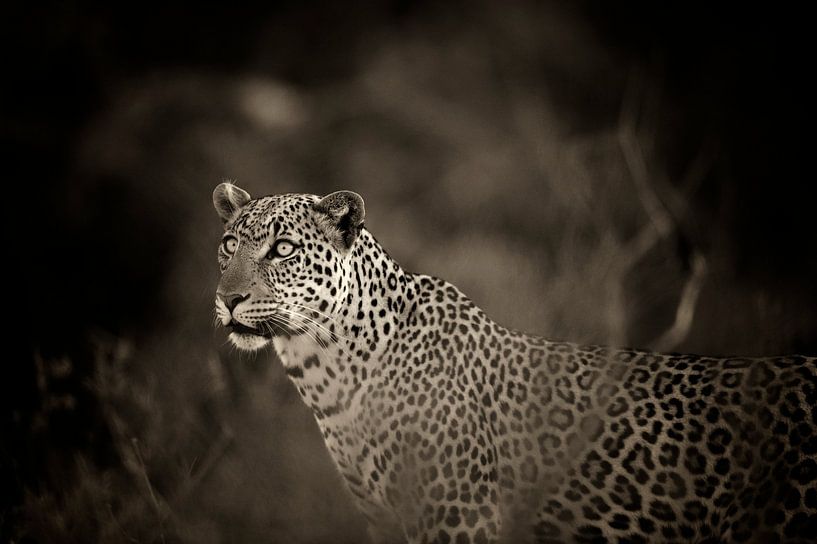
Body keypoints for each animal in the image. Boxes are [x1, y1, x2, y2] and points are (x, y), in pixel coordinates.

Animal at [212, 182, 817, 544]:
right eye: (227, 245)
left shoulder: (459, 518)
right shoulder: (382, 519)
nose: (228, 298)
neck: (327, 372)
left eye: (283, 249)